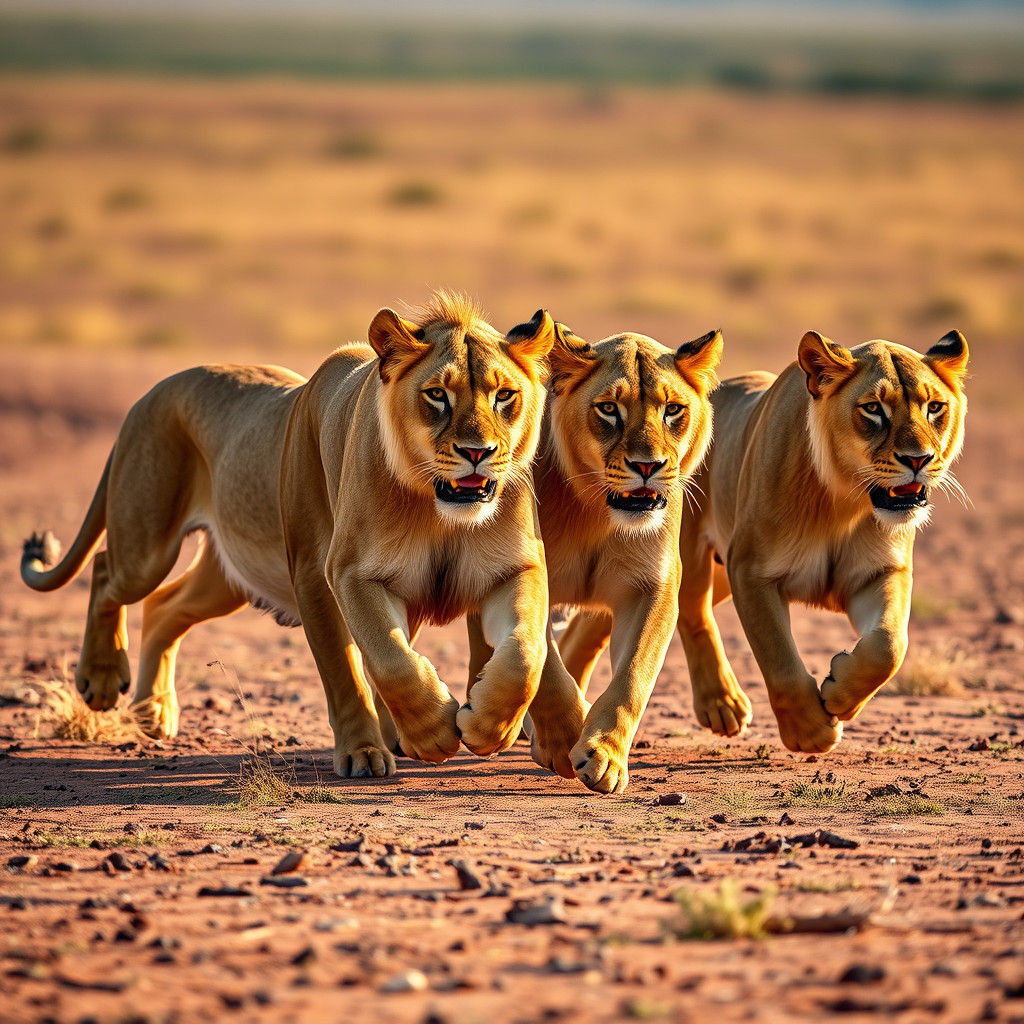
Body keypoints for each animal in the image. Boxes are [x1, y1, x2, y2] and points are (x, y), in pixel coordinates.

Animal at [22, 291, 558, 777]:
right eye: (436, 395)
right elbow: (371, 666)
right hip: (148, 543)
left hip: (227, 576)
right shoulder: (332, 574)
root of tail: (152, 391)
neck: (439, 511)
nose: (478, 452)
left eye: (504, 395)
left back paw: (153, 711)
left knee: (163, 606)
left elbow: (524, 654)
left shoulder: (516, 567)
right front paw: (391, 746)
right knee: (106, 571)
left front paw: (490, 727)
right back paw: (102, 680)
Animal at [469, 322, 723, 793]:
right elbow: (547, 666)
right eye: (608, 409)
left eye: (672, 410)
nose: (648, 466)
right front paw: (563, 738)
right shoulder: (529, 575)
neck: (595, 509)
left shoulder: (652, 586)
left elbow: (633, 675)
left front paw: (604, 755)